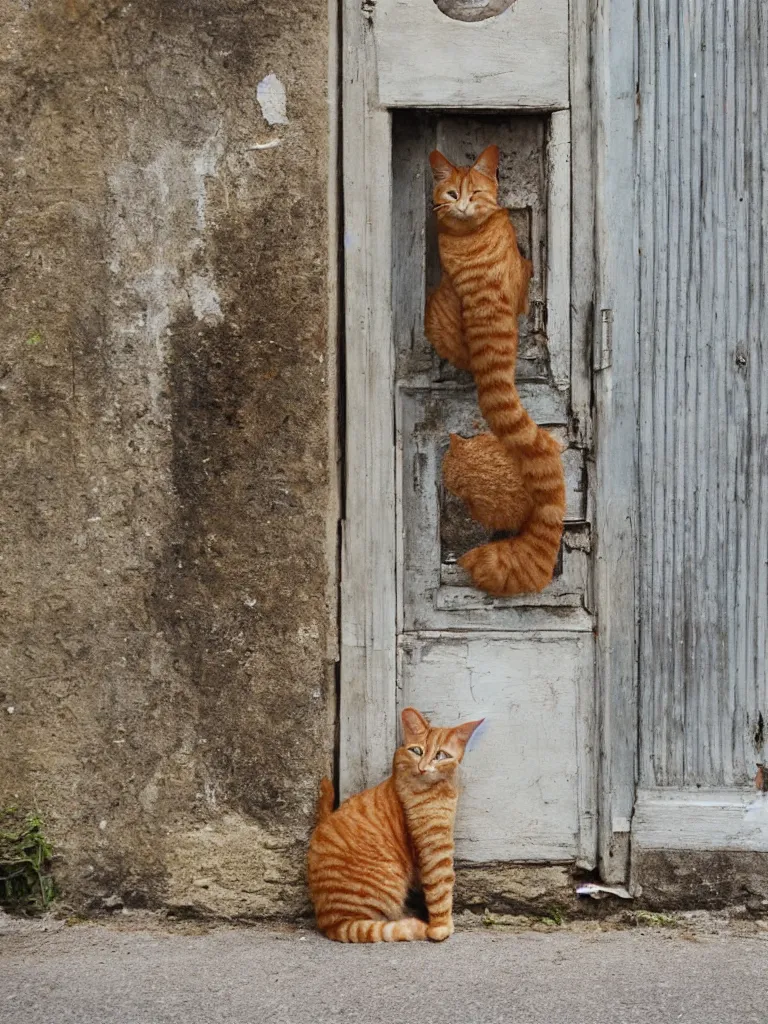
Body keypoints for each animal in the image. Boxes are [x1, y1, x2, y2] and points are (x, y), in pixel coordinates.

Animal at [305, 708, 481, 937]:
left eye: (441, 755)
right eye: (416, 751)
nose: (423, 767)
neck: (437, 791)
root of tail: (332, 924)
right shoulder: (434, 847)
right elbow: (440, 889)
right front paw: (441, 927)